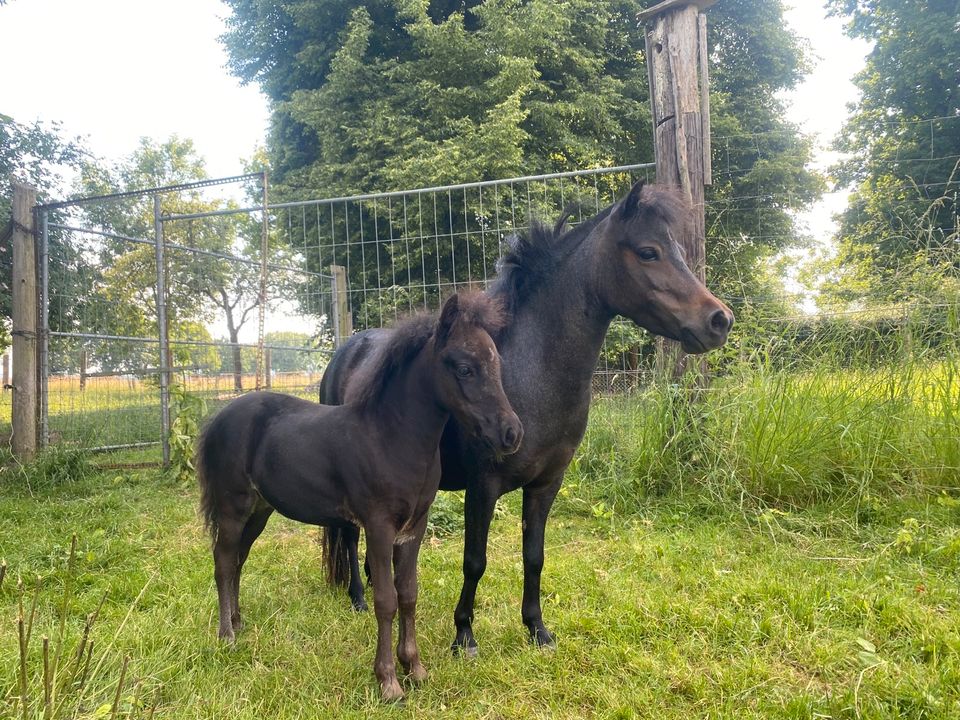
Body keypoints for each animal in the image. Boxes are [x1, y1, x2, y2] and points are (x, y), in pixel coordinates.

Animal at [198, 290, 520, 700]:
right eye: (464, 368)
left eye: (495, 364)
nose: (512, 433)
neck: (390, 437)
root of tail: (219, 417)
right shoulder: (379, 526)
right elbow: (385, 599)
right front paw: (389, 682)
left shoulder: (414, 527)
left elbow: (409, 594)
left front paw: (416, 669)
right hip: (233, 506)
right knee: (224, 561)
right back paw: (226, 635)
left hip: (259, 510)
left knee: (238, 559)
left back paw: (238, 622)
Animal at [318, 180, 732, 652]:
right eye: (649, 252)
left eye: (678, 249)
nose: (720, 320)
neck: (530, 373)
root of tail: (347, 350)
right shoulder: (483, 486)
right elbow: (475, 560)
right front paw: (464, 634)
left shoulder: (546, 485)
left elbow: (534, 556)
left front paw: (537, 628)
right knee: (349, 533)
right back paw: (356, 596)